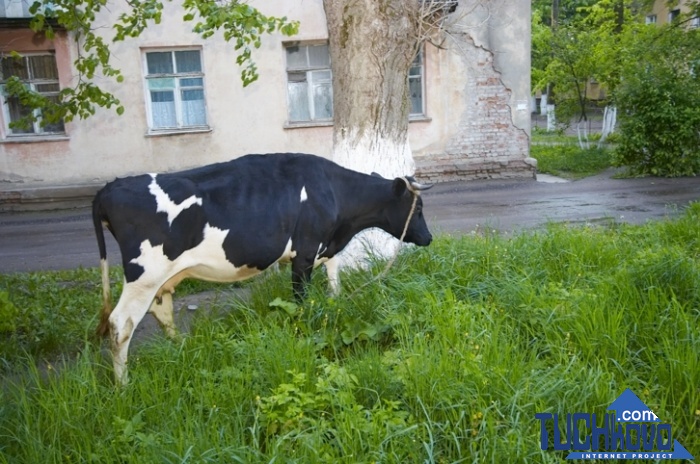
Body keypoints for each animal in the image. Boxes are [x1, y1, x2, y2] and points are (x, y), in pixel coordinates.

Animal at [93, 153, 432, 384]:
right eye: (418, 207)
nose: (428, 238)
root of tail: (111, 187)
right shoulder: (304, 254)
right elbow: (301, 302)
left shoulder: (323, 248)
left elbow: (334, 281)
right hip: (144, 274)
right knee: (121, 323)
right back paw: (123, 384)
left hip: (162, 277)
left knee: (161, 311)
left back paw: (182, 351)